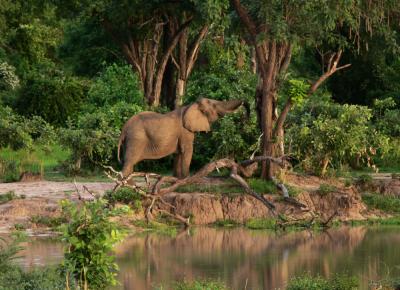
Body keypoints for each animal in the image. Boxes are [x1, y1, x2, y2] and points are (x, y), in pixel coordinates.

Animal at [116, 98, 247, 179]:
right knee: (129, 163)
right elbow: (187, 151)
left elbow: (178, 154)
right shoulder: (185, 132)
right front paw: (186, 179)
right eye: (214, 106)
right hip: (136, 139)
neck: (191, 106)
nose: (244, 103)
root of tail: (124, 128)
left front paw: (176, 179)